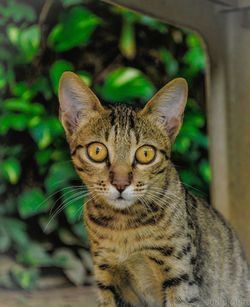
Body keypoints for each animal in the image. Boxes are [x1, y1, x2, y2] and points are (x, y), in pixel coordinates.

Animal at [59, 72, 250, 307]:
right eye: (97, 151)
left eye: (146, 154)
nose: (120, 184)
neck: (124, 228)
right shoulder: (107, 277)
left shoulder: (180, 278)